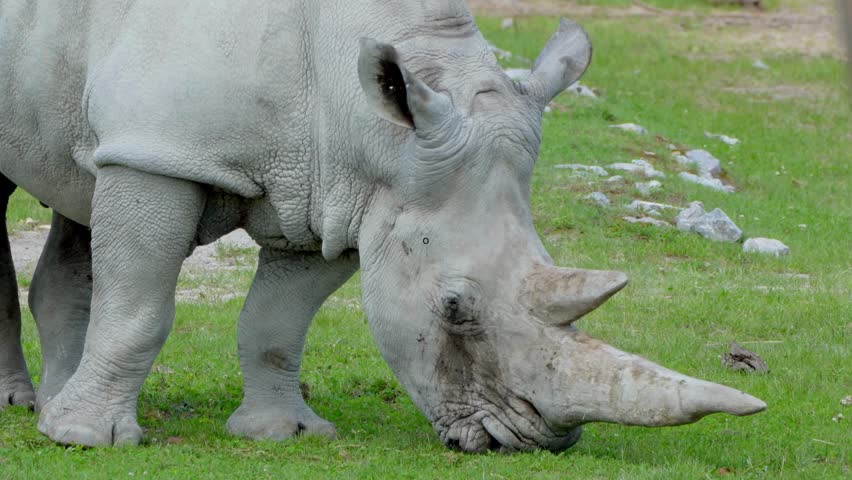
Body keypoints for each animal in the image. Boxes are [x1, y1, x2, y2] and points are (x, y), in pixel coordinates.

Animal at [0, 0, 765, 451]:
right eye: (454, 309)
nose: (530, 440)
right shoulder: (160, 152)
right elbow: (141, 307)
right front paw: (88, 440)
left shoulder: (345, 188)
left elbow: (277, 322)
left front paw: (284, 432)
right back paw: (32, 407)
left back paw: (49, 404)